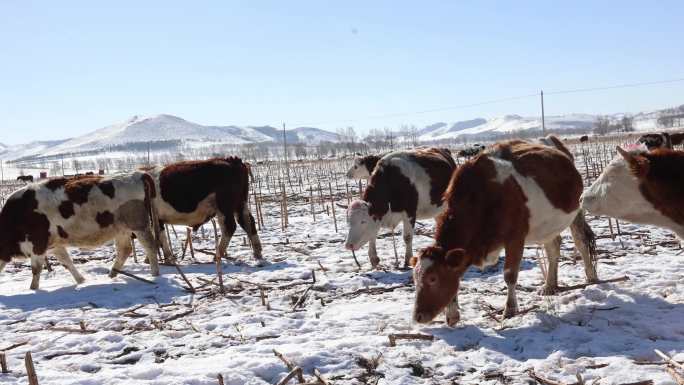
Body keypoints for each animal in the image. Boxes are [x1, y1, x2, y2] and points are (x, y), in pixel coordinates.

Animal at [0, 172, 161, 288]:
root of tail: (136, 175)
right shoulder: (54, 245)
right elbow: (67, 262)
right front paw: (81, 280)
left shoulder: (37, 244)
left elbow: (36, 269)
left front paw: (33, 289)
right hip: (121, 229)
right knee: (125, 250)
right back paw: (112, 275)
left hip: (139, 225)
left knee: (150, 246)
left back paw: (154, 274)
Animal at [412, 136, 600, 326]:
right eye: (415, 279)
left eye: (433, 278)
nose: (417, 317)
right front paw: (452, 315)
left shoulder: (515, 238)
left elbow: (509, 275)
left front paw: (509, 309)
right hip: (547, 225)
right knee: (553, 249)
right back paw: (549, 286)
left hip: (576, 211)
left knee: (581, 241)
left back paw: (591, 278)